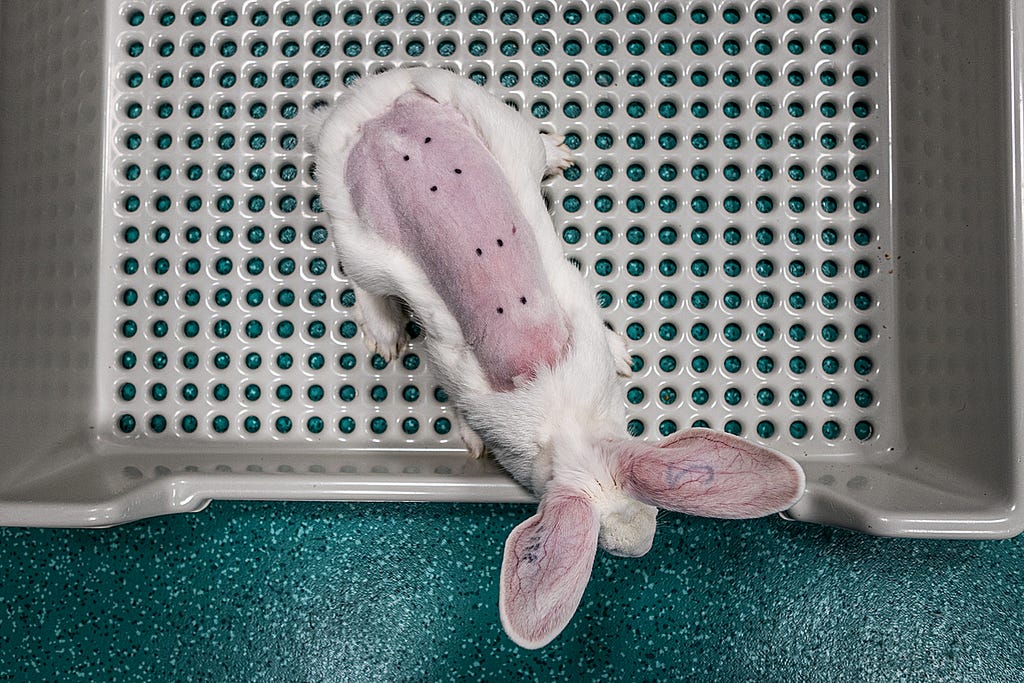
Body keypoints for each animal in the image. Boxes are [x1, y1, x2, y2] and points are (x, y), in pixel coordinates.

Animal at [315, 66, 802, 651]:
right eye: (608, 545)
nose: (642, 544)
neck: (567, 427)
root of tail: (376, 108)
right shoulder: (448, 369)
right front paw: (473, 442)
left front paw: (624, 356)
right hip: (359, 244)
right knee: (364, 286)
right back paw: (385, 336)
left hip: (493, 122)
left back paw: (560, 155)